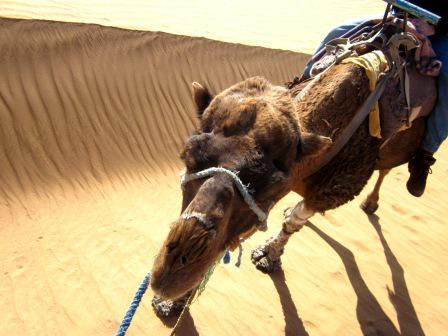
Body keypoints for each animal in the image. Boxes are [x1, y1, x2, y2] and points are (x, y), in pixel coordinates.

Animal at [151, 44, 438, 316]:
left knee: (386, 168)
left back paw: (375, 201)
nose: (171, 271)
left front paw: (268, 255)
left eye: (271, 189)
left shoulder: (335, 189)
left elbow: (294, 221)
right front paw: (172, 303)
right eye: (187, 157)